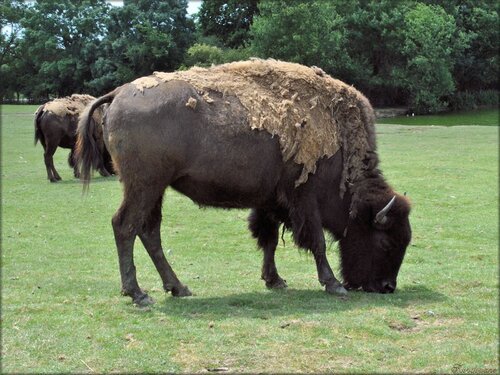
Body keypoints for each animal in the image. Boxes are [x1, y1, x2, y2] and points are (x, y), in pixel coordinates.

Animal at [75, 58, 410, 306]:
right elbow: (316, 241)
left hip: (154, 188)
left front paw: (275, 280)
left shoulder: (271, 200)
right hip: (144, 185)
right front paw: (333, 284)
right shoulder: (304, 198)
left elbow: (269, 239)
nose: (387, 286)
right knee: (125, 226)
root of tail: (117, 94)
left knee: (148, 230)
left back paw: (178, 287)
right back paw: (138, 294)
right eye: (385, 241)